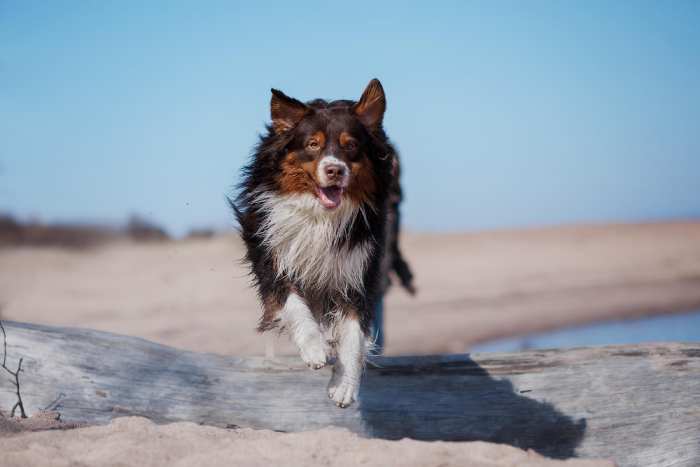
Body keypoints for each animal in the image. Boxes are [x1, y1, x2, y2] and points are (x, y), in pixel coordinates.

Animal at [232, 78, 412, 408]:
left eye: (351, 145)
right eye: (312, 144)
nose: (334, 170)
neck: (321, 216)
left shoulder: (358, 271)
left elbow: (353, 333)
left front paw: (344, 384)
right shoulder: (271, 255)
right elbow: (293, 302)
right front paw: (314, 348)